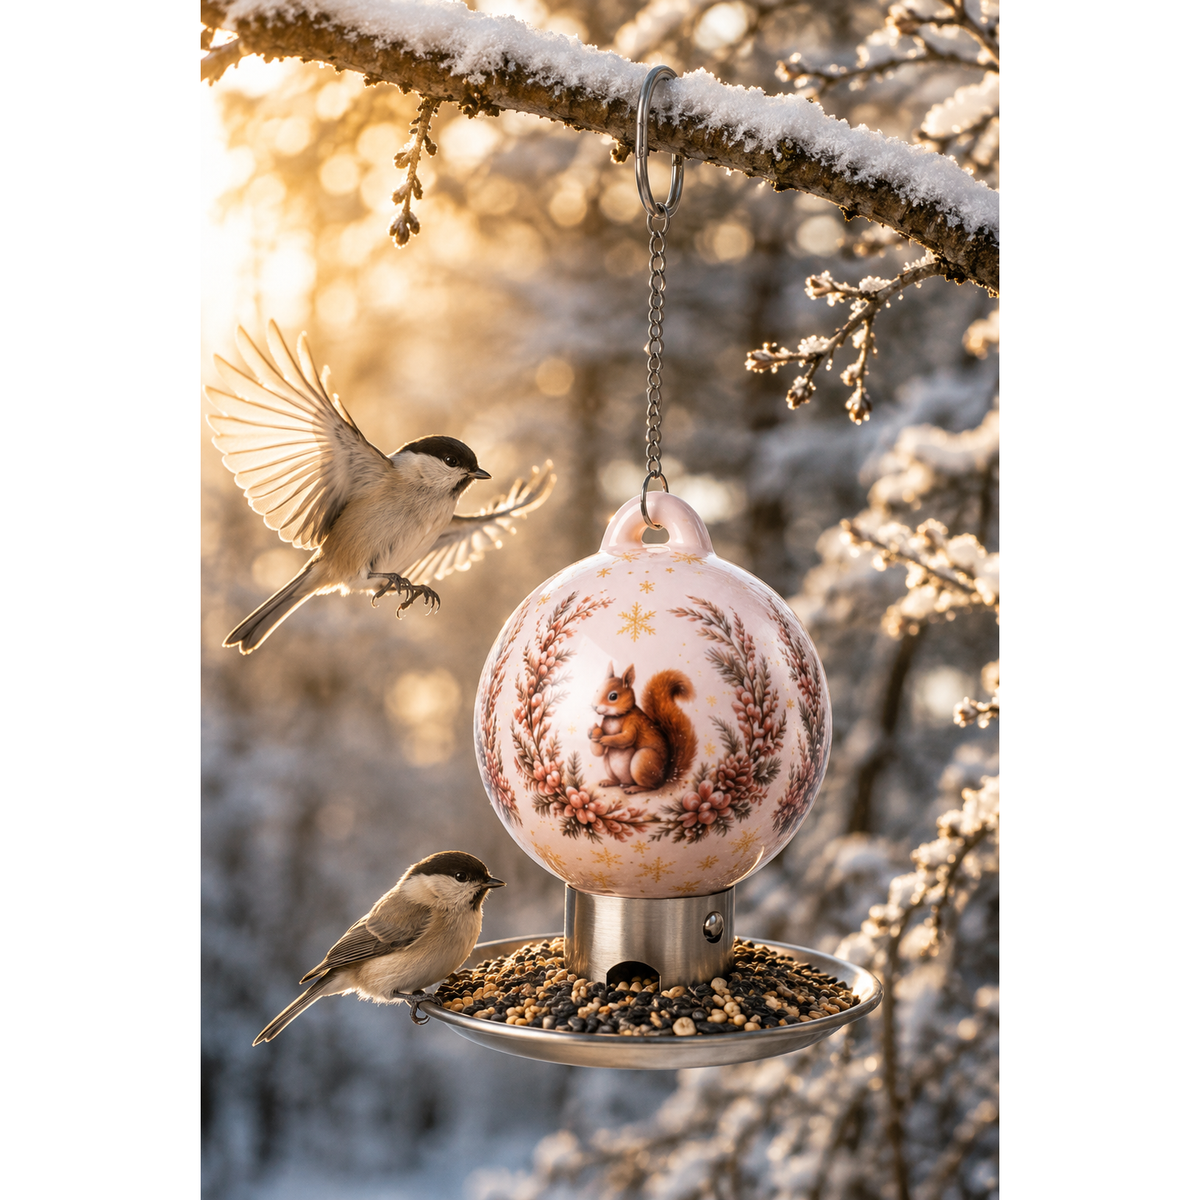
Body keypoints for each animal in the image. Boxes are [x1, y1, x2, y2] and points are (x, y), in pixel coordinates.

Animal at [588, 662, 697, 793]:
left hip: (643, 760)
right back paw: (609, 782)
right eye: (597, 689)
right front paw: (592, 732)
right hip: (609, 766)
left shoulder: (634, 723)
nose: (594, 707)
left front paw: (604, 739)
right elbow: (598, 752)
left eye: (613, 696)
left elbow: (626, 738)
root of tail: (664, 778)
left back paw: (634, 788)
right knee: (618, 781)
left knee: (651, 786)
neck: (614, 717)